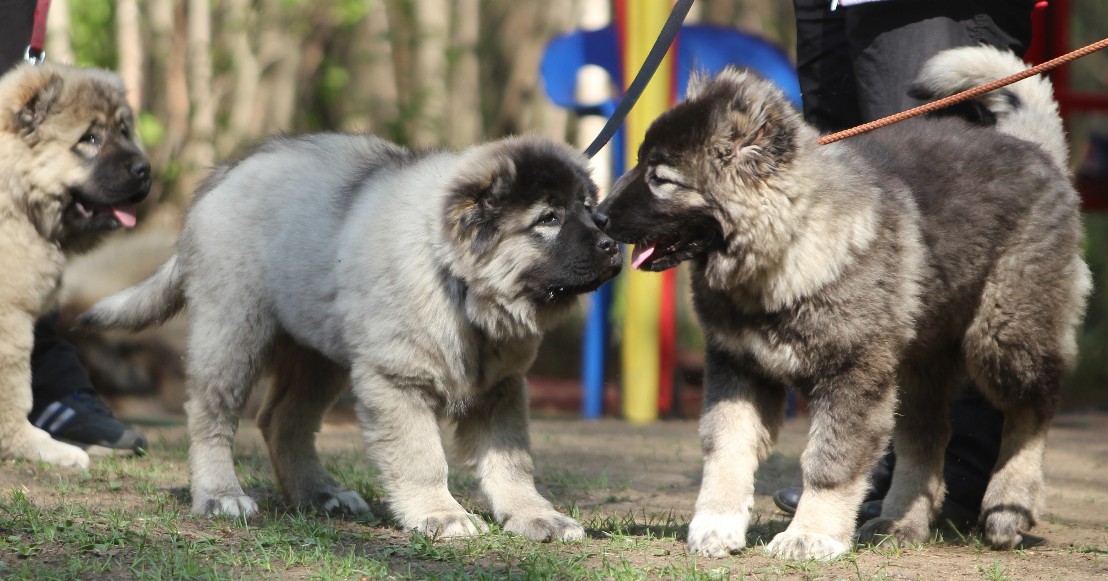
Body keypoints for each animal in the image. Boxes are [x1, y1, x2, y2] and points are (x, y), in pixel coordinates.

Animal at [80, 132, 624, 541]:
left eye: (590, 209)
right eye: (548, 219)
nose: (612, 243)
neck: (458, 285)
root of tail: (225, 175)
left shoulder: (501, 389)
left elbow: (512, 462)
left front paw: (534, 515)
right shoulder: (396, 381)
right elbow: (423, 458)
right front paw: (440, 513)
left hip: (319, 355)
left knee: (282, 420)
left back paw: (320, 494)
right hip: (233, 330)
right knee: (210, 416)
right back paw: (220, 494)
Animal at [593, 46, 1085, 558]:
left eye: (661, 178)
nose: (598, 215)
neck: (789, 243)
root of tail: (1035, 149)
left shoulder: (853, 373)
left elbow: (830, 461)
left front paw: (811, 533)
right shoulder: (738, 366)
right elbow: (727, 447)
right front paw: (717, 522)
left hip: (1005, 333)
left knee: (1033, 409)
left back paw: (1010, 504)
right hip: (918, 360)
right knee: (927, 438)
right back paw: (900, 522)